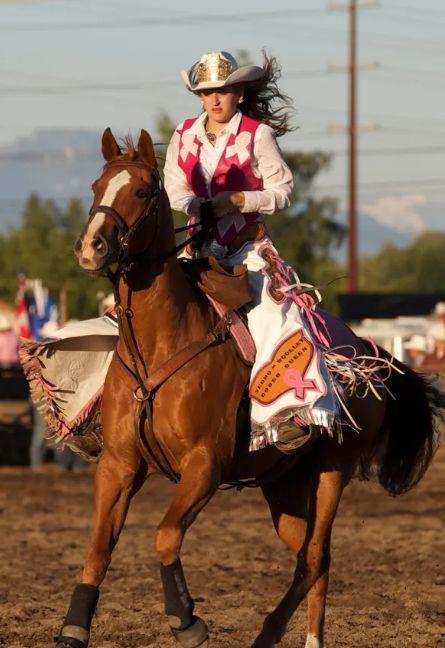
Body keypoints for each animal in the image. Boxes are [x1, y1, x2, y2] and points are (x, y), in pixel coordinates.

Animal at [57, 126, 442, 648]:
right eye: (97, 186)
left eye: (141, 190)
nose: (92, 247)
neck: (163, 342)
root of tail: (368, 353)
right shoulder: (119, 465)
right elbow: (98, 549)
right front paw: (74, 626)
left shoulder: (205, 465)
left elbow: (165, 535)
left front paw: (186, 620)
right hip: (282, 483)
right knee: (308, 554)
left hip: (332, 471)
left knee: (316, 556)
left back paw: (286, 635)